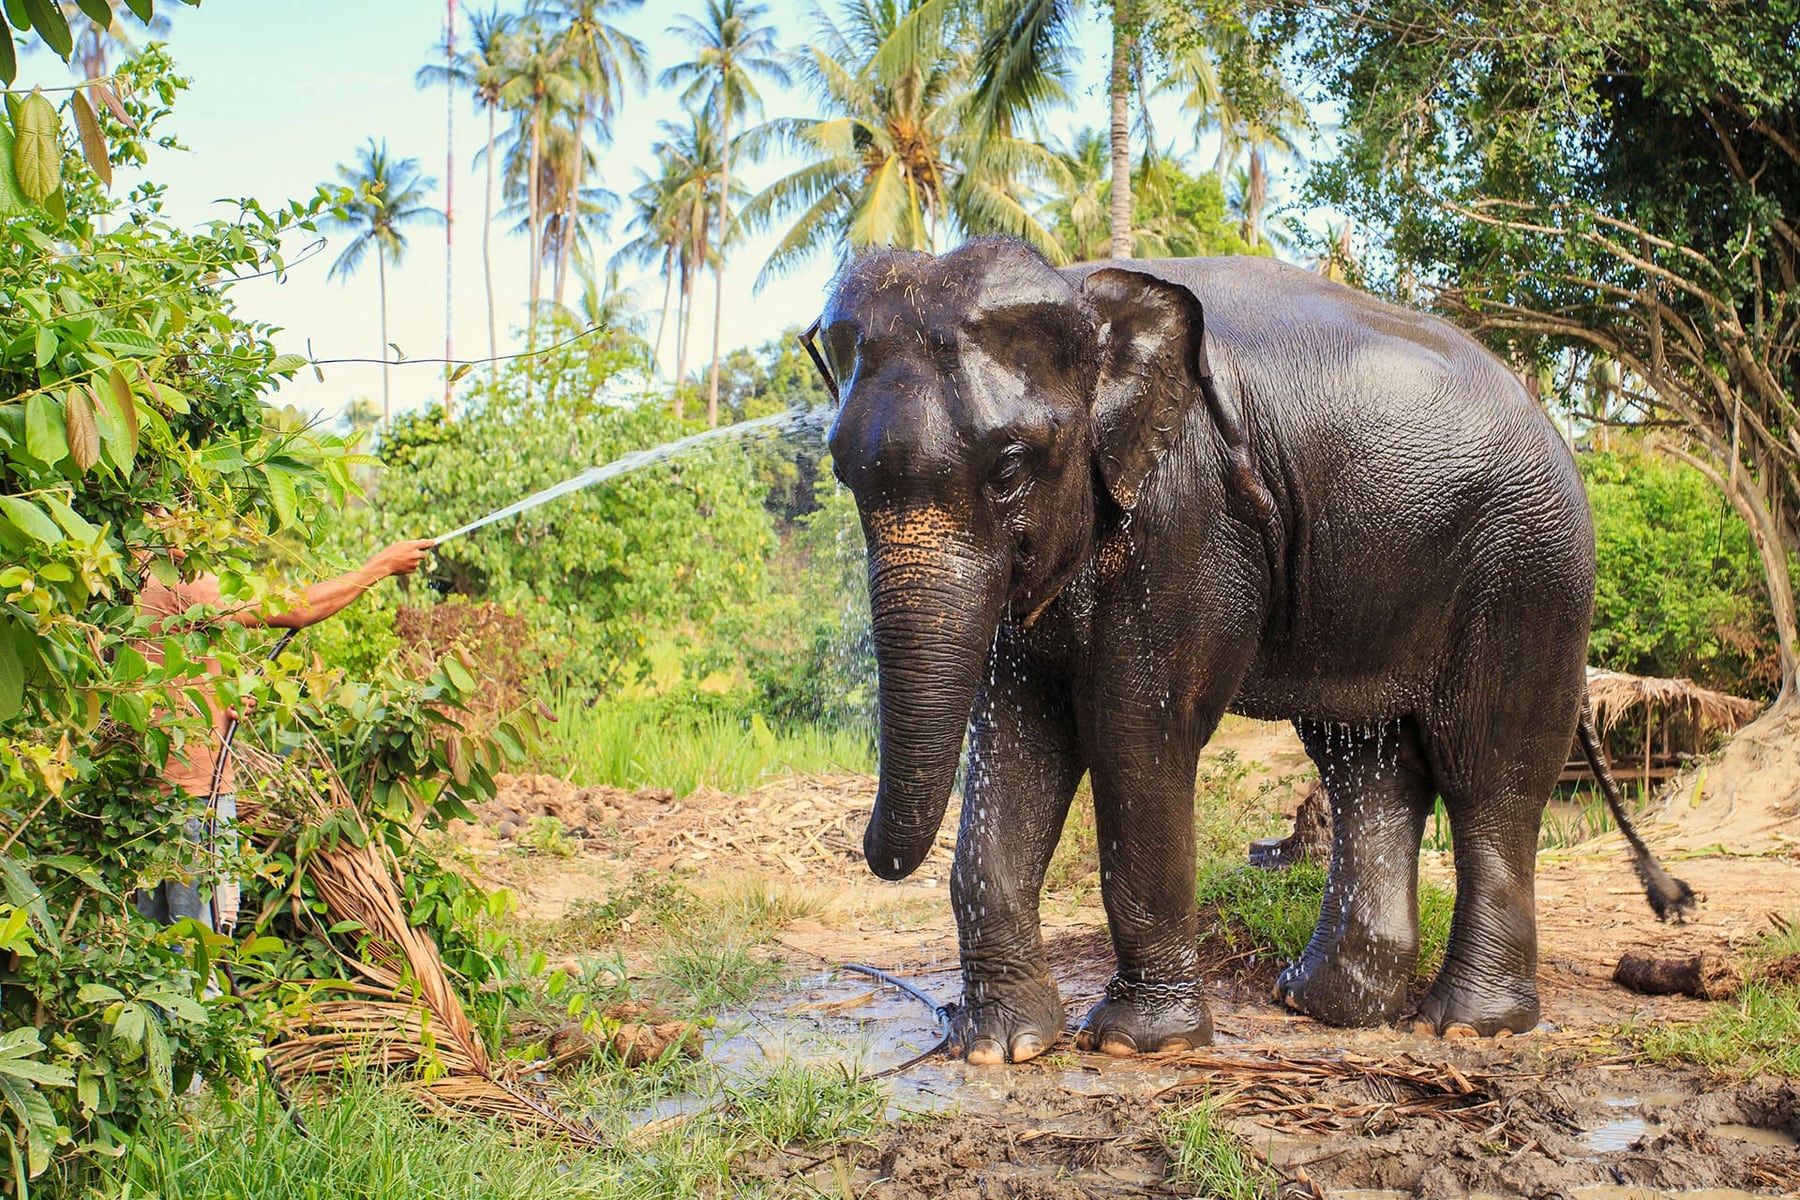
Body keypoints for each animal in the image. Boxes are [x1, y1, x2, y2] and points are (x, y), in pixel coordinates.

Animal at [807, 237, 1692, 1064]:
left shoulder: (1188, 512)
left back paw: (1466, 1026)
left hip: (1528, 571)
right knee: (1372, 763)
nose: (868, 855)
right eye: (844, 474)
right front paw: (999, 1047)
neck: (1082, 288)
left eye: (1010, 468)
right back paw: (1322, 1005)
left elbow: (1136, 733)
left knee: (1489, 778)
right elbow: (1017, 738)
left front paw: (1137, 1044)